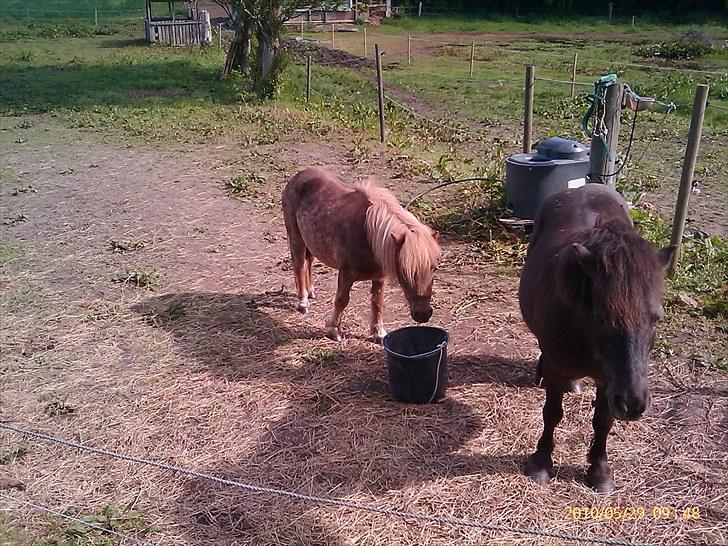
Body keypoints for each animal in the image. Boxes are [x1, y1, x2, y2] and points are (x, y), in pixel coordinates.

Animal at [282, 167, 441, 342]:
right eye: (405, 270)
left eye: (434, 268)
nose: (423, 314)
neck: (368, 235)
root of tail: (299, 176)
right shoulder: (346, 274)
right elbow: (341, 300)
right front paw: (333, 330)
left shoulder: (379, 277)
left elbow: (377, 302)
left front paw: (378, 333)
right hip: (296, 237)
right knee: (299, 265)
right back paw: (303, 302)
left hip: (310, 241)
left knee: (308, 262)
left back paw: (310, 292)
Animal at [518, 183, 672, 493]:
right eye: (602, 318)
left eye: (656, 318)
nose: (634, 404)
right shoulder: (558, 367)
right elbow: (552, 413)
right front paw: (541, 461)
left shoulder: (608, 381)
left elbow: (603, 420)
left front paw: (599, 471)